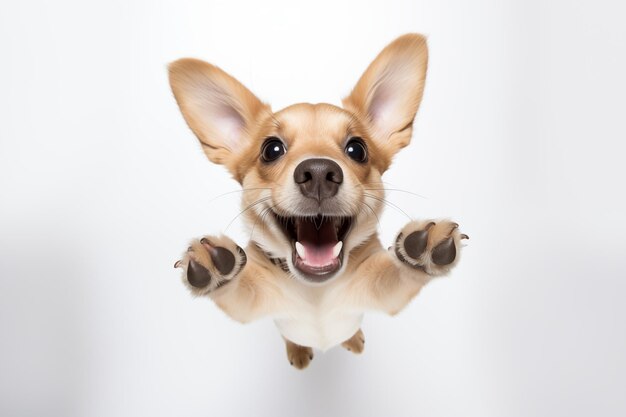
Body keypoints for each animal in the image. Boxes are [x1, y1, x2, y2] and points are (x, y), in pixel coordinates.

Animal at [168, 34, 466, 368]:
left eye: (357, 149)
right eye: (271, 150)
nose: (320, 172)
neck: (317, 292)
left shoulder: (380, 293)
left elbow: (395, 275)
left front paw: (422, 249)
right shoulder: (254, 304)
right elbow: (240, 289)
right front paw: (217, 266)